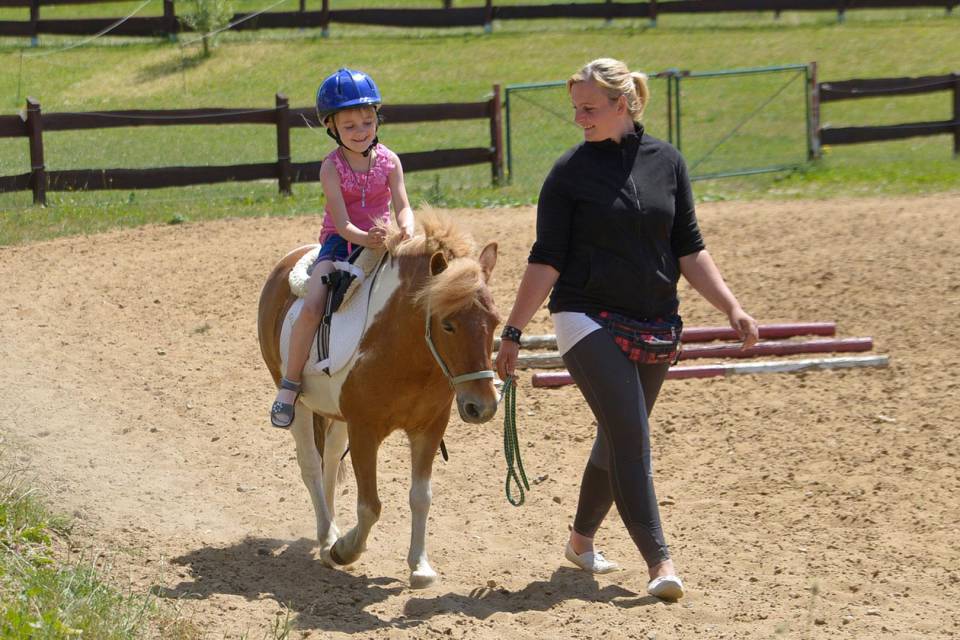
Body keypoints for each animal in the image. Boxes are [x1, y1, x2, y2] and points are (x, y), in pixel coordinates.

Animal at [258, 212, 506, 588]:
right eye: (448, 325)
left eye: (495, 322)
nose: (484, 406)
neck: (403, 349)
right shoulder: (365, 431)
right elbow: (370, 506)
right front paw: (345, 550)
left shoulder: (429, 429)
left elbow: (421, 497)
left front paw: (420, 565)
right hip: (298, 404)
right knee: (311, 464)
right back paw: (328, 537)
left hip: (336, 415)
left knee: (330, 459)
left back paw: (328, 532)